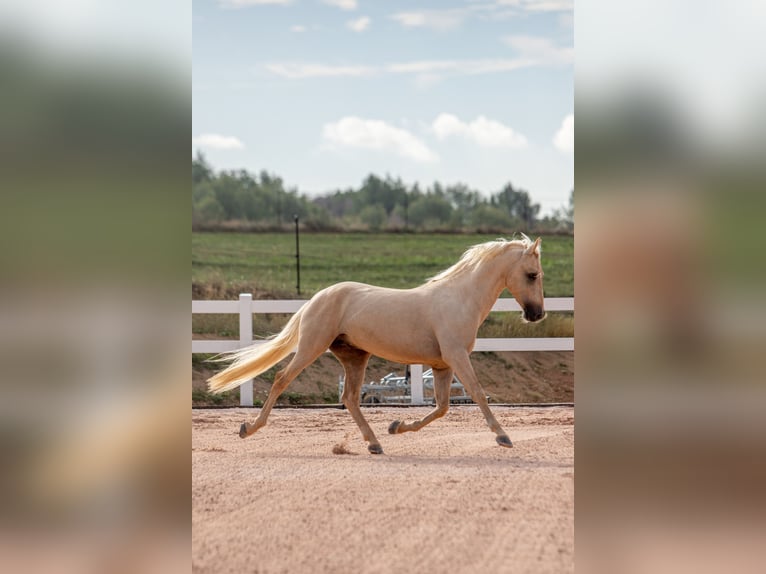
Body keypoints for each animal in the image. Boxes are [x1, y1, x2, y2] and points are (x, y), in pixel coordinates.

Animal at [208, 236, 544, 456]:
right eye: (532, 275)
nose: (537, 314)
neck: (460, 299)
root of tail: (317, 298)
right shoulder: (457, 357)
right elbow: (477, 393)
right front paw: (503, 437)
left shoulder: (442, 365)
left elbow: (442, 408)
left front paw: (397, 426)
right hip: (311, 347)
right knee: (281, 380)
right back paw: (248, 428)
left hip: (355, 357)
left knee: (350, 398)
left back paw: (375, 443)